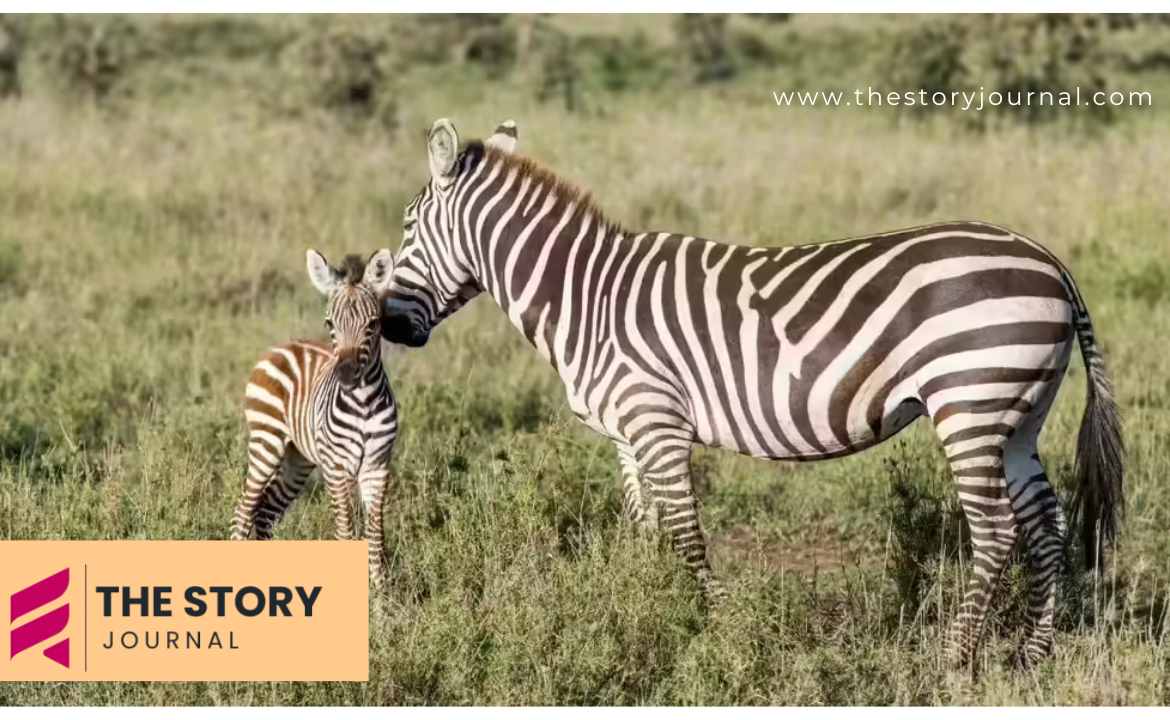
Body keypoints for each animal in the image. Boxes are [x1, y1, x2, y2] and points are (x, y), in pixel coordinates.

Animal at [232, 248, 399, 589]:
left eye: (372, 324)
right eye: (330, 324)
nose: (346, 375)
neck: (363, 404)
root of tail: (281, 345)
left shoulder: (377, 467)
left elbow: (376, 536)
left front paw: (381, 594)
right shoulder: (337, 468)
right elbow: (346, 532)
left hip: (298, 458)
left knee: (265, 511)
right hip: (266, 442)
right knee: (244, 509)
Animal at [379, 118, 1123, 668]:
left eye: (408, 227)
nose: (387, 326)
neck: (586, 296)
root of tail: (1049, 261)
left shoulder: (655, 418)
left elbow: (685, 530)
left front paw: (716, 626)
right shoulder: (627, 432)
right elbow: (646, 527)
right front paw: (644, 609)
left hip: (969, 403)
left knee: (996, 529)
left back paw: (950, 657)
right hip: (1016, 417)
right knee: (1047, 521)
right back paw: (1033, 652)